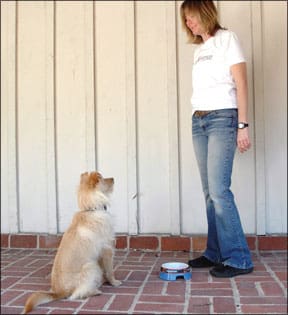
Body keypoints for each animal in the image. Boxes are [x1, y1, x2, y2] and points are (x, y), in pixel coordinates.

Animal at [23, 172, 121, 314]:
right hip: (91, 266)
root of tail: (58, 292)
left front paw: (106, 280)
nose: (113, 178)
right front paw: (114, 282)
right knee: (75, 295)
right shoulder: (107, 250)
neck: (91, 209)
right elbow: (109, 270)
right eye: (102, 178)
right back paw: (94, 291)